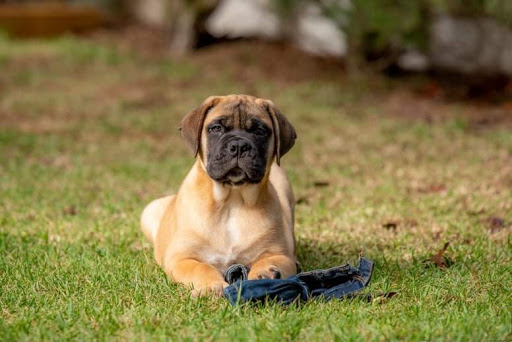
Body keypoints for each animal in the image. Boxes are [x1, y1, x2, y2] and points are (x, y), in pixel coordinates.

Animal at [142, 94, 298, 296]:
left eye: (260, 131)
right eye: (216, 128)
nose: (239, 145)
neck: (231, 202)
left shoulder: (281, 255)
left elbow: (269, 260)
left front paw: (265, 274)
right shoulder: (182, 258)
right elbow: (201, 268)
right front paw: (212, 286)